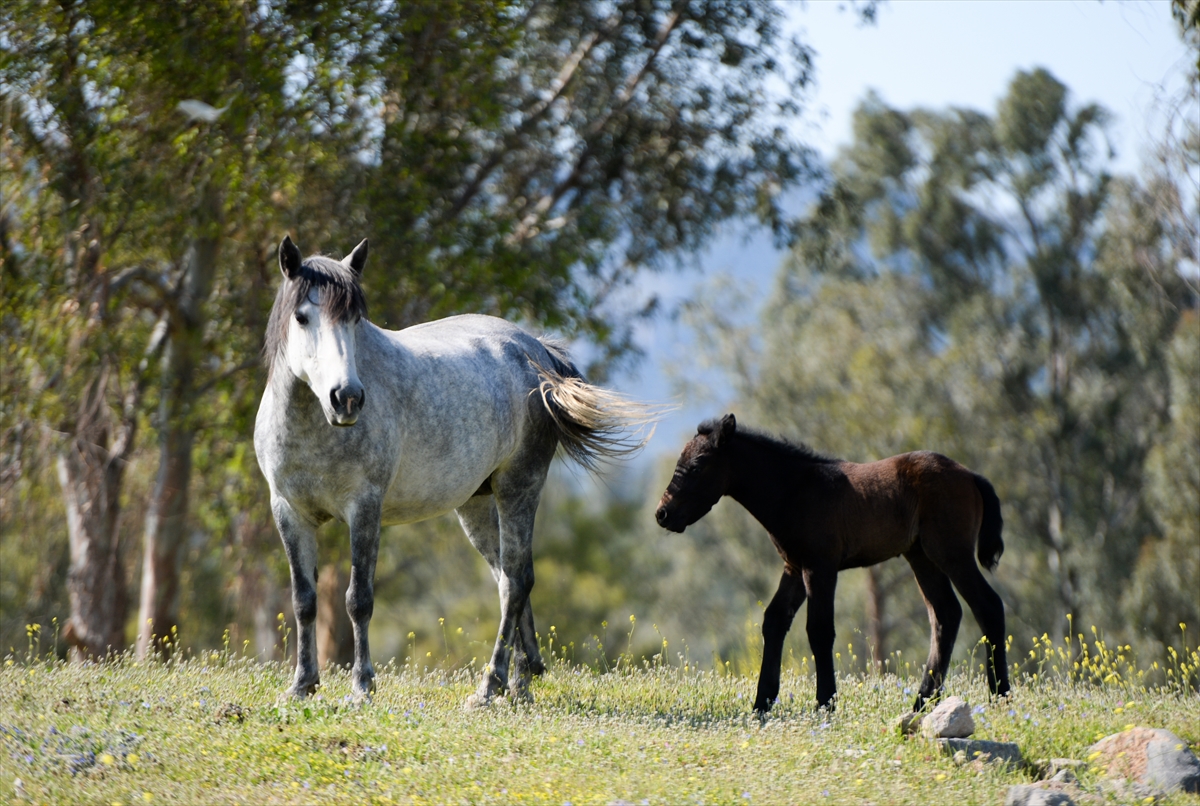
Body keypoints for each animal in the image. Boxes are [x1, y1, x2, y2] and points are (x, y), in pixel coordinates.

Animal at [253, 235, 648, 705]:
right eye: (302, 317)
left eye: (355, 319)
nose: (346, 398)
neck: (311, 428)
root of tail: (534, 349)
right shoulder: (288, 511)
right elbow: (304, 600)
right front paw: (302, 685)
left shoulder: (363, 509)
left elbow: (358, 599)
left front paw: (362, 686)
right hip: (476, 506)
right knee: (508, 581)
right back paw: (520, 682)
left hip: (519, 488)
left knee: (516, 581)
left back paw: (490, 686)